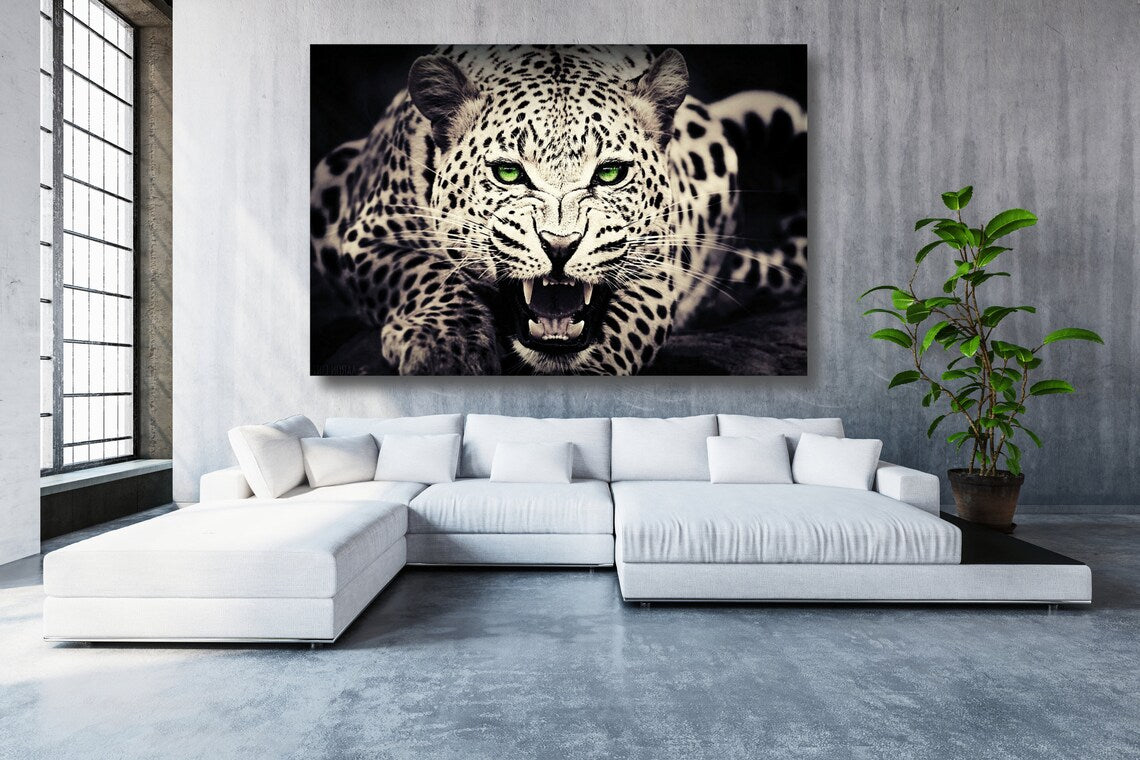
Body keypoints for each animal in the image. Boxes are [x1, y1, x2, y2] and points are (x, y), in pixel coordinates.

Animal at [311, 45, 807, 375]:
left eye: (610, 173)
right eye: (508, 173)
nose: (560, 245)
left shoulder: (660, 266)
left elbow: (626, 325)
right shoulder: (367, 237)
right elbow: (425, 274)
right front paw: (445, 347)